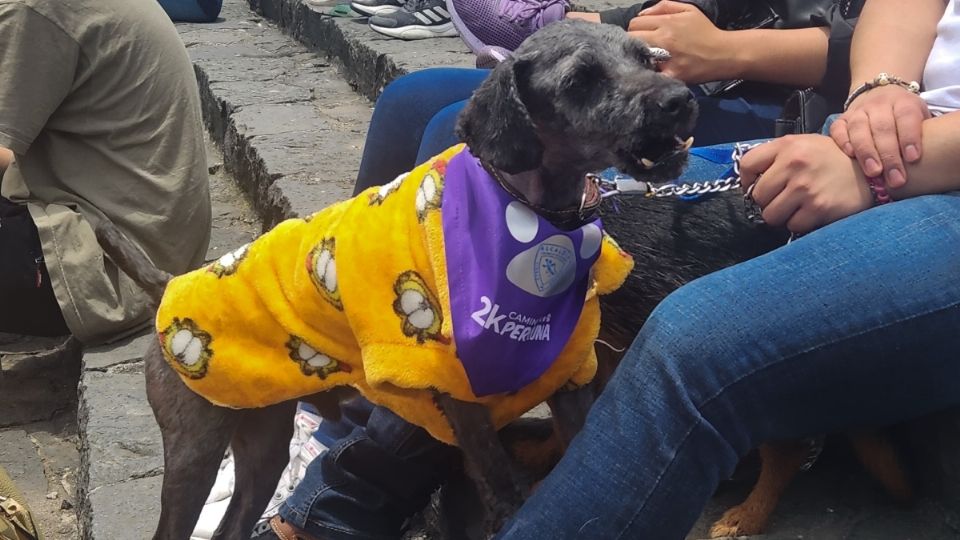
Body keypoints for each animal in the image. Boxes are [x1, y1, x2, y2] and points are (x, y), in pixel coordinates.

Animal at [94, 20, 700, 540]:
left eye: (648, 59)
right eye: (580, 80)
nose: (680, 100)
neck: (536, 216)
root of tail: (168, 287)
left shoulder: (571, 376)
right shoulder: (461, 396)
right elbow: (502, 483)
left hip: (263, 437)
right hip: (195, 445)